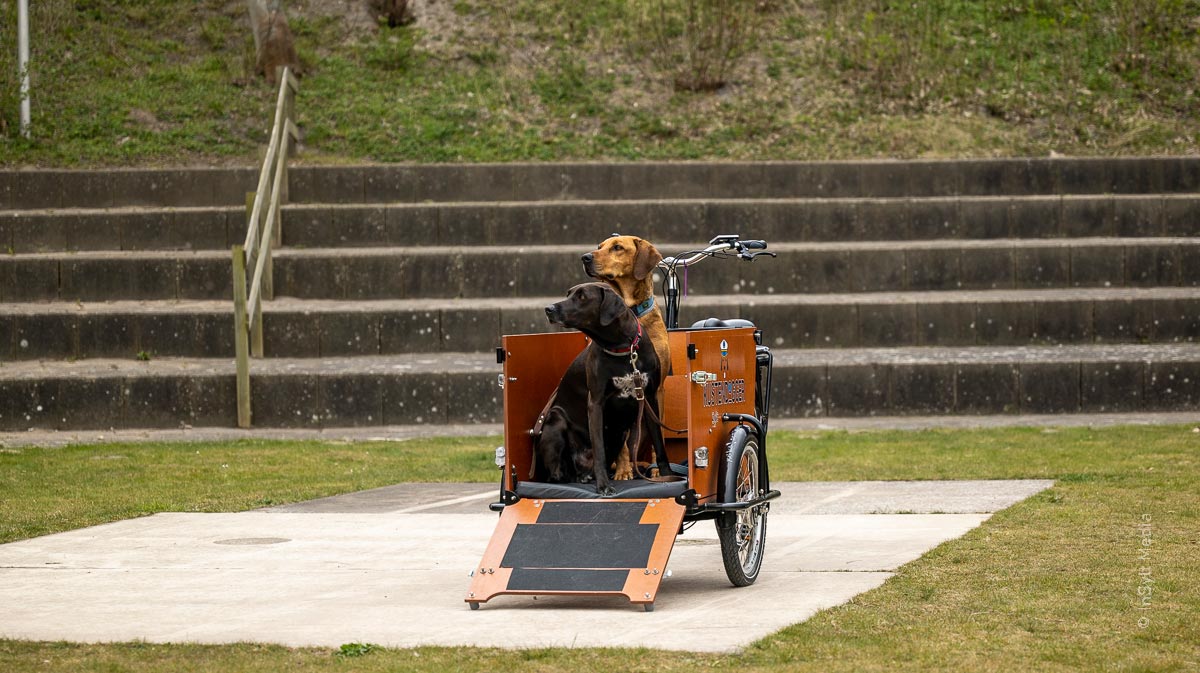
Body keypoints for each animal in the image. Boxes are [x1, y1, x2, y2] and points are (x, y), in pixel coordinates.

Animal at [540, 280, 672, 496]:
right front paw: (603, 486)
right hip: (555, 419)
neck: (622, 348)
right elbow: (599, 450)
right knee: (557, 475)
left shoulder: (650, 398)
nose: (548, 309)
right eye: (568, 294)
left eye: (582, 297)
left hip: (618, 433)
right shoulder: (595, 403)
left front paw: (666, 475)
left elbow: (659, 444)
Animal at [583, 235, 672, 477]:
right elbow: (622, 442)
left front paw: (659, 470)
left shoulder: (656, 388)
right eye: (599, 247)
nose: (584, 257)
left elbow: (657, 433)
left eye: (617, 247)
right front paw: (624, 471)